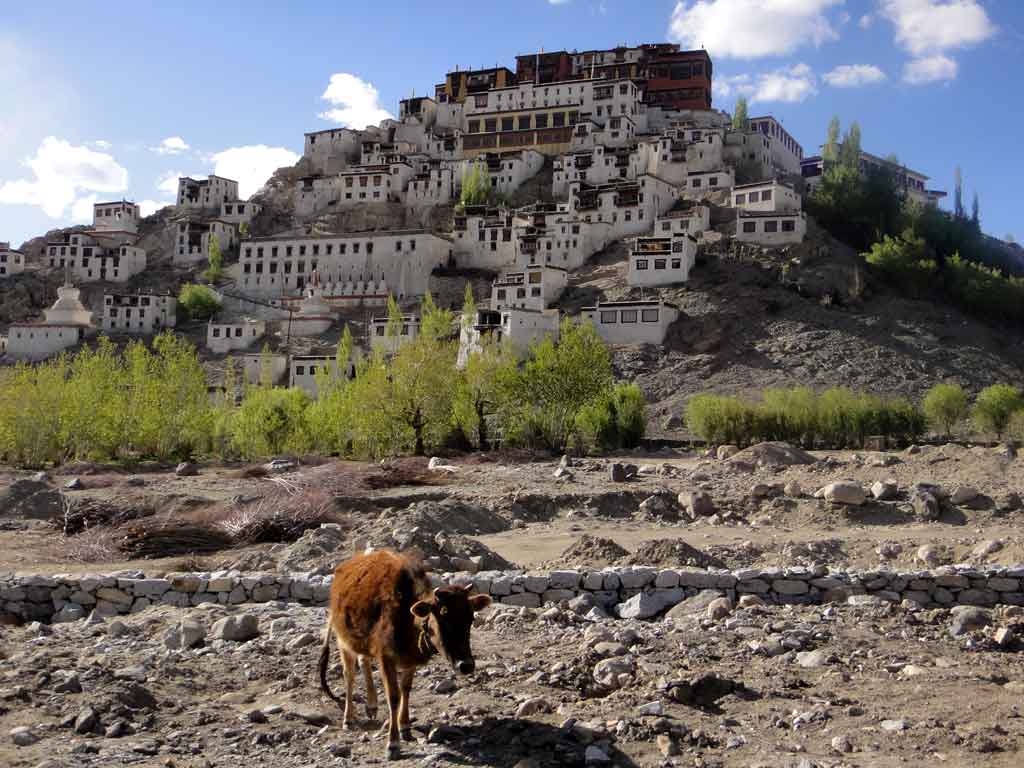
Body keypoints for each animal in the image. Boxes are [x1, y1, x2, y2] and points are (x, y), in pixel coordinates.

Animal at [321, 548, 493, 761]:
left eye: (470, 618)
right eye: (442, 615)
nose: (466, 665)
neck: (406, 617)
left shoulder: (410, 660)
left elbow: (406, 690)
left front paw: (405, 727)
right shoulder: (386, 657)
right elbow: (393, 696)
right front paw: (393, 743)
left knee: (364, 661)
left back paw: (371, 705)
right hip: (343, 640)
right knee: (349, 675)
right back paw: (348, 718)